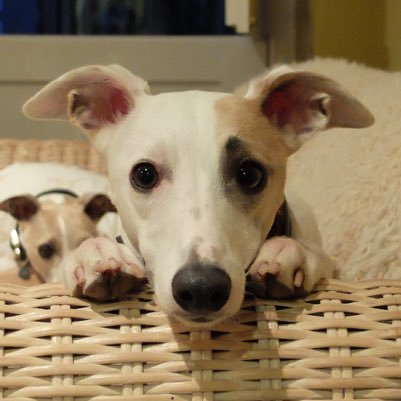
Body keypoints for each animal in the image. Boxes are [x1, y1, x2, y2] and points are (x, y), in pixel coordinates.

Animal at [21, 65, 372, 324]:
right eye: (144, 174)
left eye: (250, 173)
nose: (201, 289)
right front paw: (94, 254)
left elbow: (316, 257)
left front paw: (289, 252)